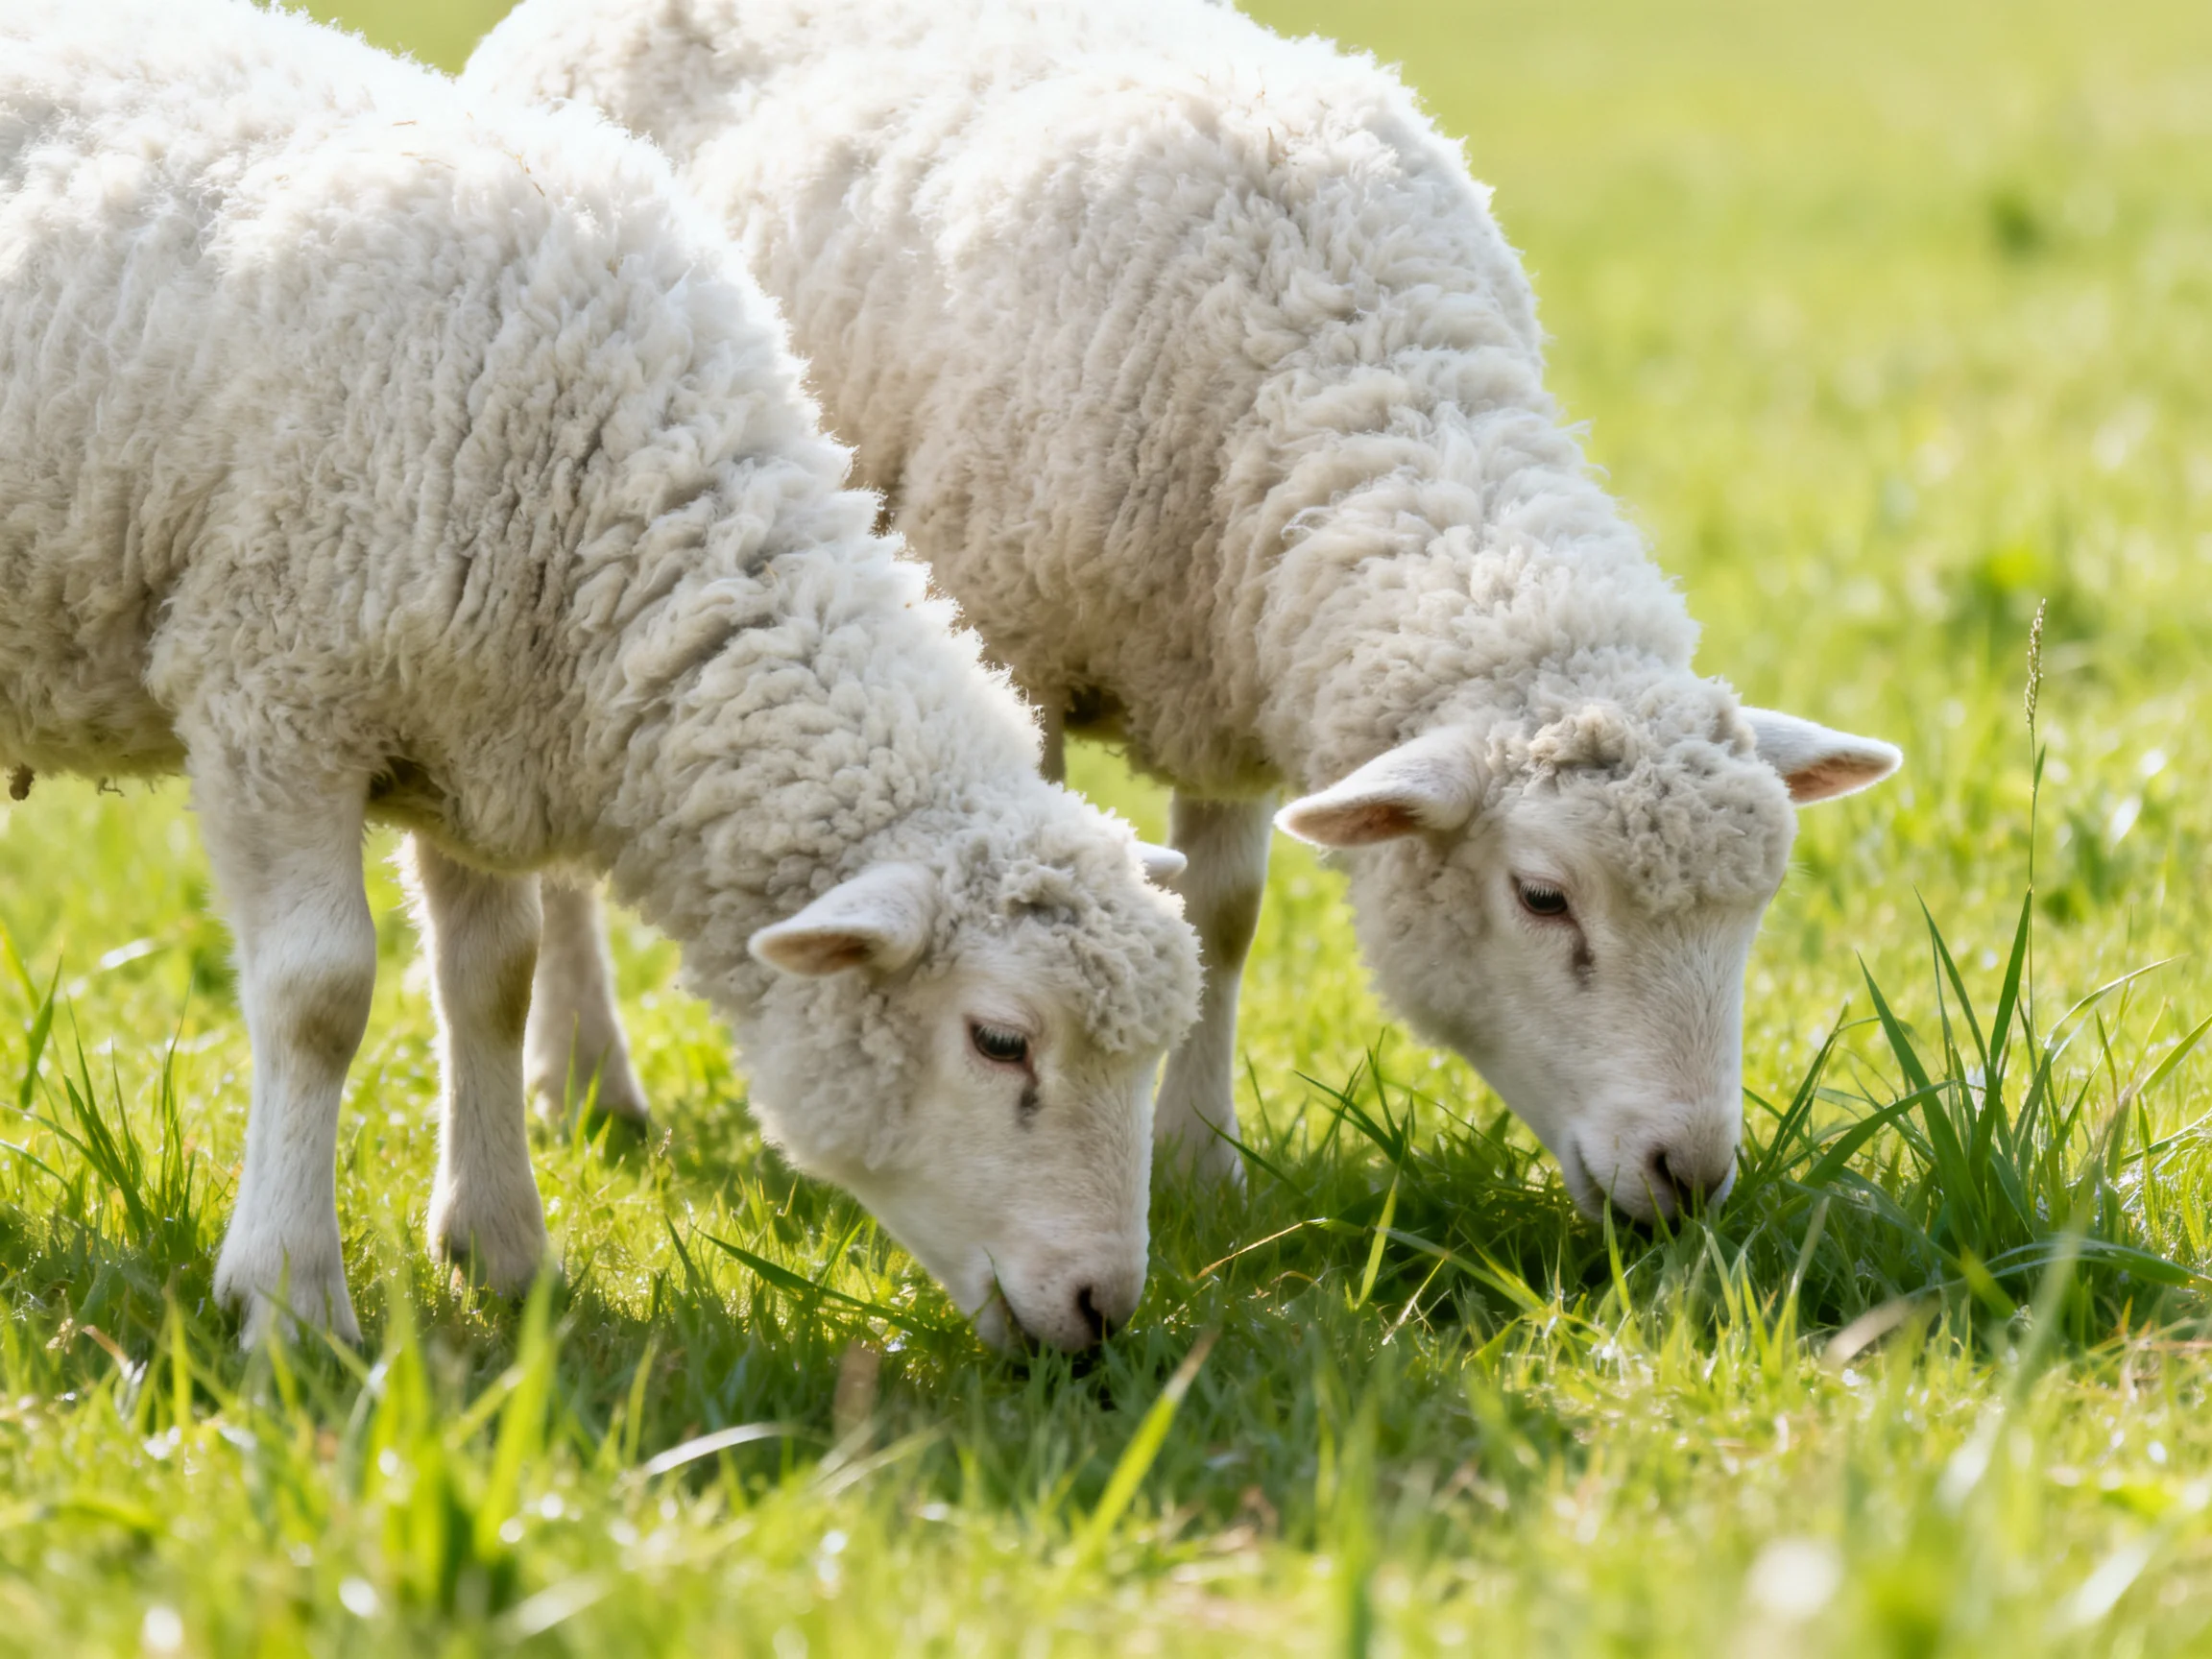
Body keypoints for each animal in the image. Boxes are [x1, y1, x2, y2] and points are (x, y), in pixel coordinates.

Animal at [0, 0, 1200, 1350]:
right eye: (1000, 1041)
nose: (1104, 1311)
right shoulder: (272, 695)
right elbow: (320, 996)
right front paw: (291, 1299)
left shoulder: (468, 734)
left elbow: (492, 981)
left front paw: (502, 1252)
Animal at [466, 0, 1901, 1221]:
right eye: (1544, 898)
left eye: (1755, 909)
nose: (1687, 1177)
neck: (1343, 342)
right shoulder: (1013, 644)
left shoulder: (1228, 668)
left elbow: (1224, 921)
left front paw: (1202, 1165)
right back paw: (586, 1083)